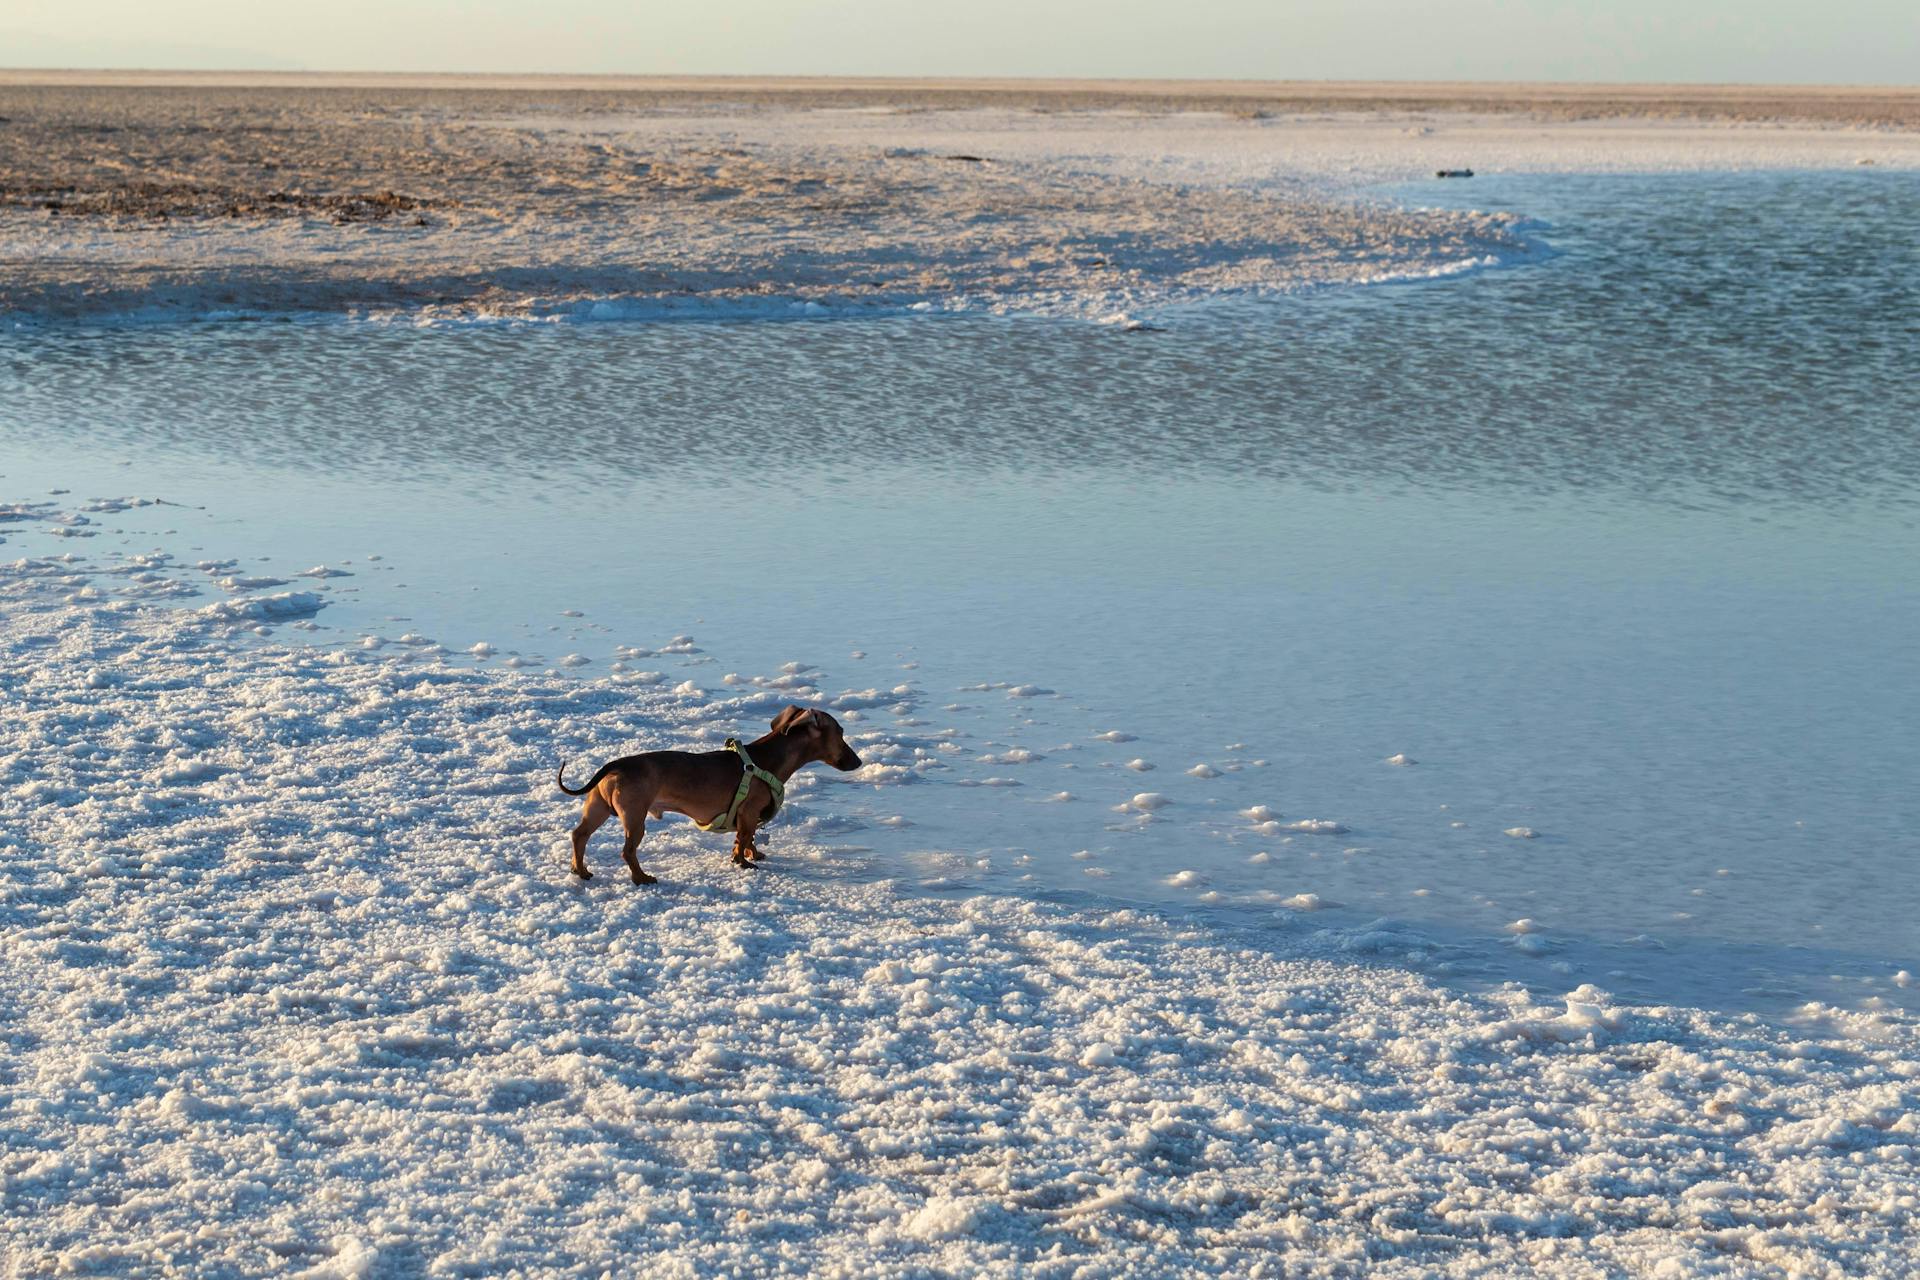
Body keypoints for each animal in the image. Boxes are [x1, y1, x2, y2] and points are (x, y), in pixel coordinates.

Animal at [552, 706, 860, 886]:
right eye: (841, 733)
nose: (858, 762)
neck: (768, 759)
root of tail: (617, 764)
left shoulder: (747, 816)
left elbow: (747, 839)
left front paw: (753, 854)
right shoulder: (749, 812)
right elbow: (743, 838)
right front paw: (743, 862)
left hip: (599, 808)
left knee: (579, 835)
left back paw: (580, 870)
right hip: (635, 817)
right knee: (627, 851)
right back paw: (641, 877)